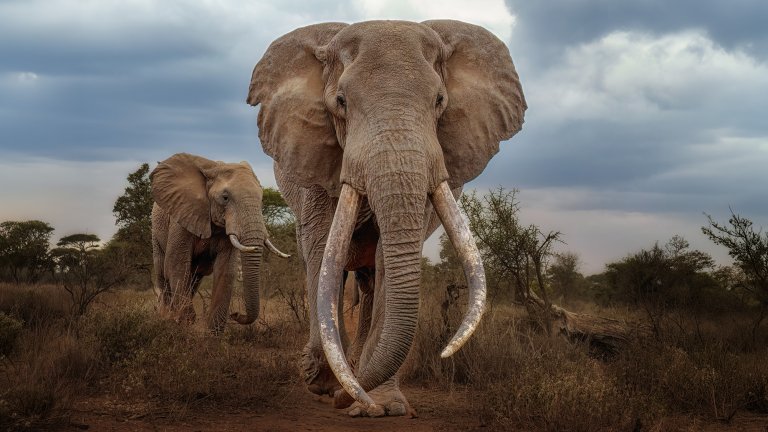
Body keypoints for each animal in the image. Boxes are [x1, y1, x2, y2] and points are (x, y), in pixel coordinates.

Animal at [150, 153, 289, 333]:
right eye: (225, 198)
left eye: (262, 199)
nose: (236, 314)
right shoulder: (180, 217)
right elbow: (176, 264)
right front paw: (185, 325)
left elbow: (226, 270)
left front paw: (213, 336)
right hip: (156, 233)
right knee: (163, 273)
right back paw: (166, 317)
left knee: (194, 279)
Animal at [246, 20, 526, 416]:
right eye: (341, 102)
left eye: (439, 101)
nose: (344, 396)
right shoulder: (315, 159)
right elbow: (322, 248)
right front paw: (323, 380)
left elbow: (385, 263)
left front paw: (379, 406)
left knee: (370, 279)